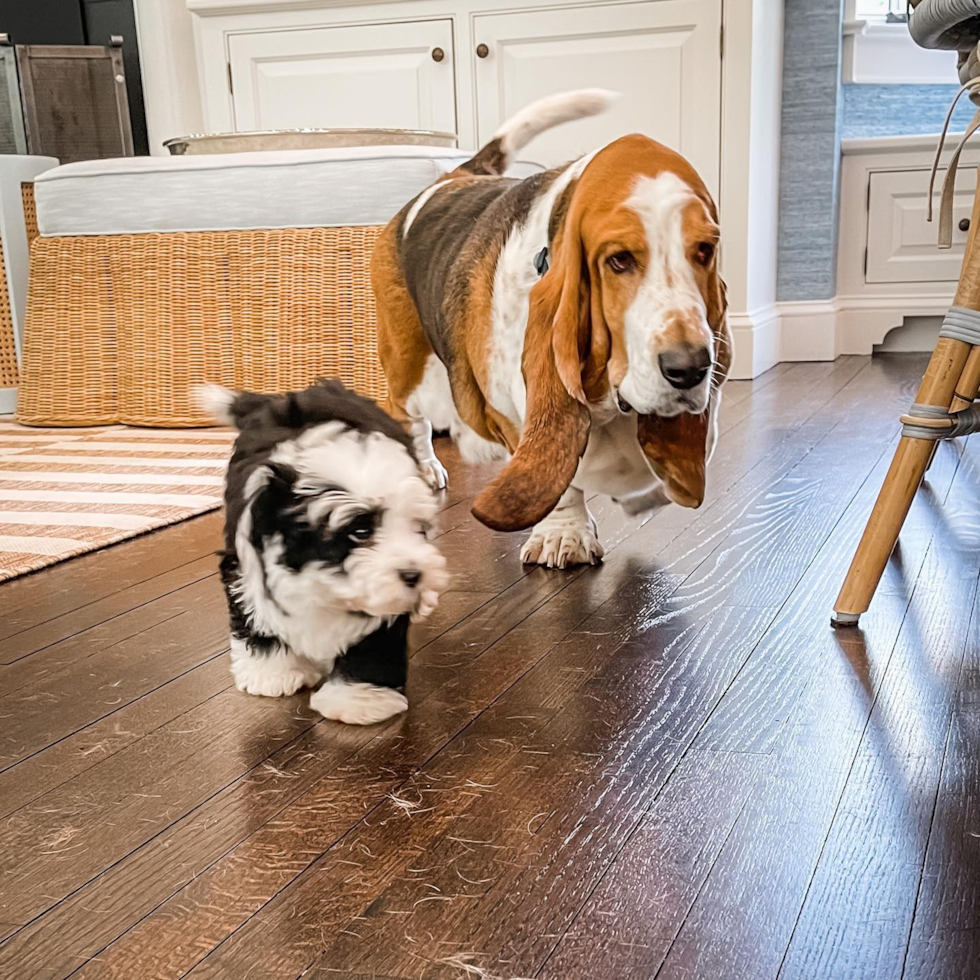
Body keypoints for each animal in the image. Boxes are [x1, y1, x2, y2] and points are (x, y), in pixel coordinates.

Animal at [200, 378, 452, 724]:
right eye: (360, 531)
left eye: (419, 529)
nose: (414, 574)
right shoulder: (246, 566)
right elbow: (256, 617)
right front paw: (272, 673)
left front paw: (358, 699)